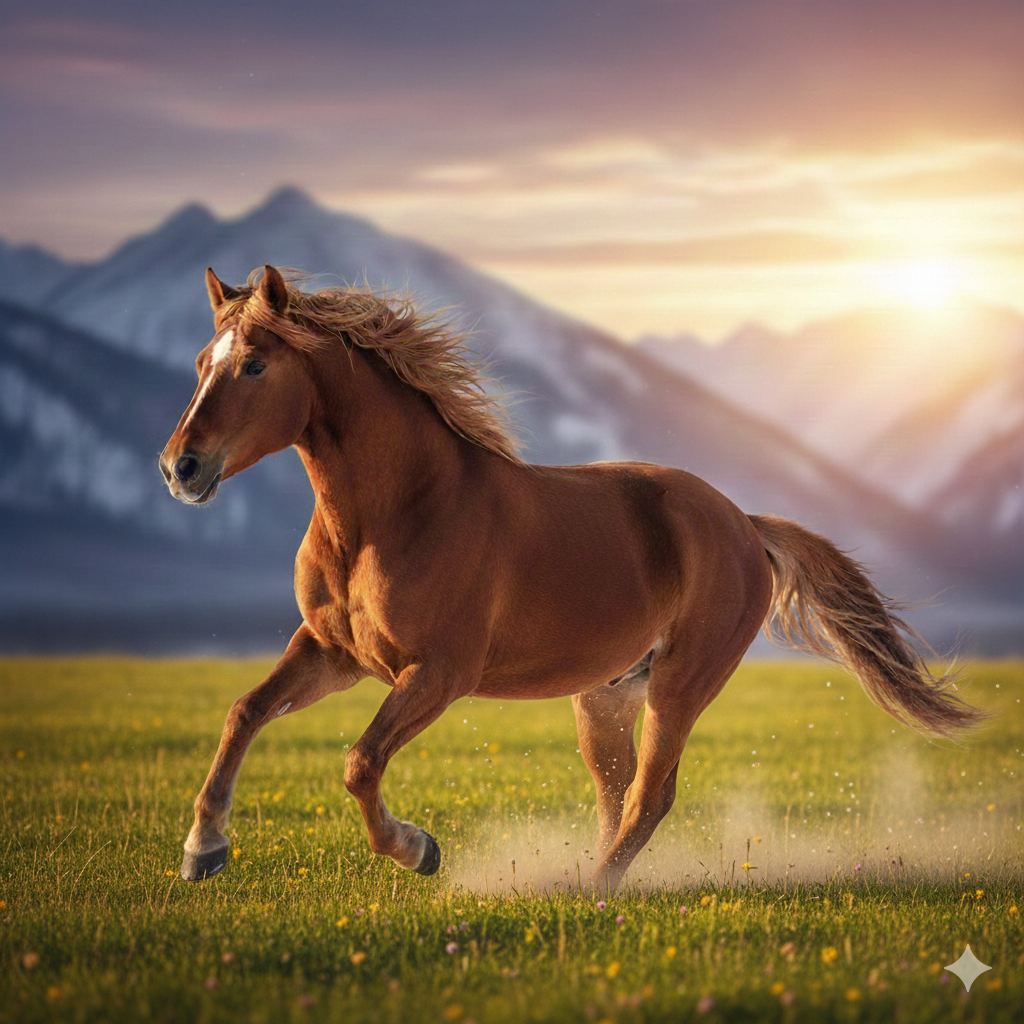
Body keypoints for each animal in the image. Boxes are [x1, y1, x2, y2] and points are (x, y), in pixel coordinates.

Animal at [159, 264, 984, 890]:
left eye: (254, 364)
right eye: (201, 364)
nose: (180, 468)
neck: (396, 513)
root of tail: (746, 525)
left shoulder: (439, 672)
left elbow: (360, 763)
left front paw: (419, 850)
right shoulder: (334, 653)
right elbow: (243, 712)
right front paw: (203, 851)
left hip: (681, 683)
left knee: (650, 795)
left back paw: (590, 891)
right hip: (607, 696)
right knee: (616, 796)